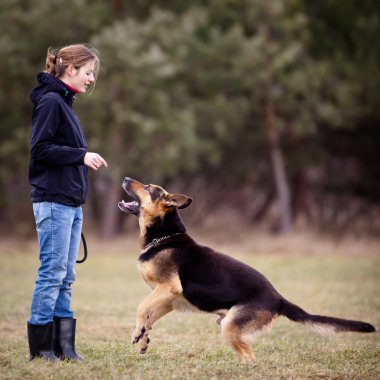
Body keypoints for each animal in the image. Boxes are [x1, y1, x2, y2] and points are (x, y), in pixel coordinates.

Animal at [118, 177, 374, 360]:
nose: (126, 177)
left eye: (148, 187)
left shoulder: (169, 288)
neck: (164, 237)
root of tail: (278, 298)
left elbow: (141, 308)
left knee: (251, 358)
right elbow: (150, 317)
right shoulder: (169, 300)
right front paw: (143, 338)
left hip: (230, 327)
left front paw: (137, 331)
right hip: (228, 325)